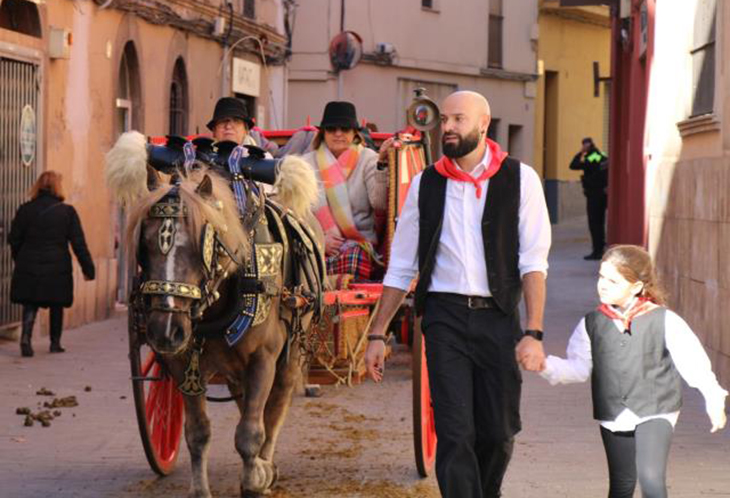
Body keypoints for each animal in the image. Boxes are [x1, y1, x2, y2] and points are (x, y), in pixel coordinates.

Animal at [105, 132, 324, 498]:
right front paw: (202, 488)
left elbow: (251, 433)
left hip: (292, 349)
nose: (165, 330)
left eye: (202, 246)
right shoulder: (184, 363)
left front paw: (256, 478)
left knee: (276, 404)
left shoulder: (263, 357)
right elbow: (198, 433)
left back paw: (267, 465)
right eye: (144, 245)